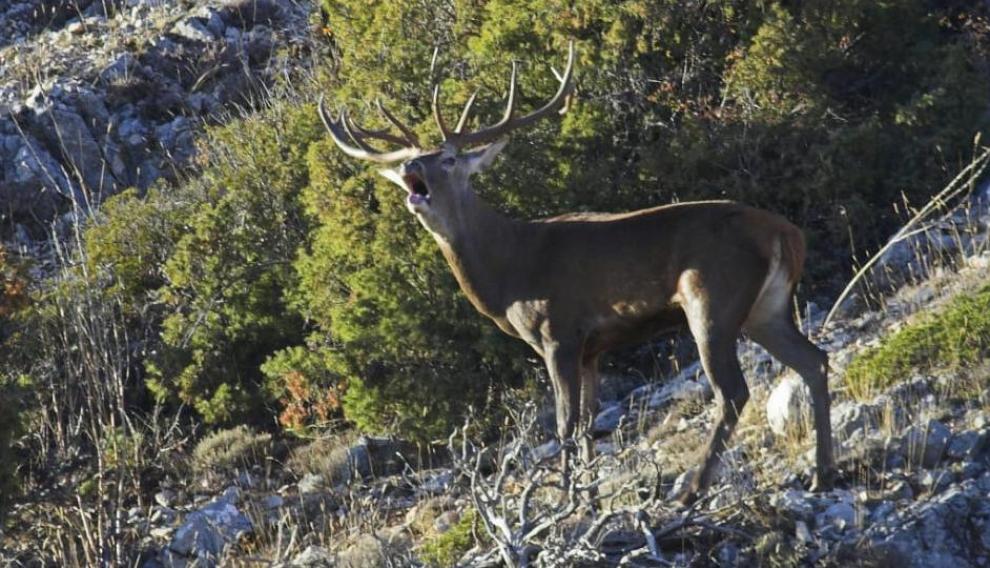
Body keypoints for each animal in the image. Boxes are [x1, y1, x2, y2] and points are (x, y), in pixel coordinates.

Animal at [320, 42, 836, 502]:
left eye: (448, 159)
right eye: (415, 160)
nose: (411, 165)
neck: (508, 273)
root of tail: (787, 233)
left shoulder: (559, 333)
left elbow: (566, 424)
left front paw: (563, 499)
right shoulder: (593, 349)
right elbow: (589, 425)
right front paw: (588, 498)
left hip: (713, 298)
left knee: (732, 392)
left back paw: (691, 489)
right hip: (766, 307)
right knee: (815, 359)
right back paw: (821, 475)